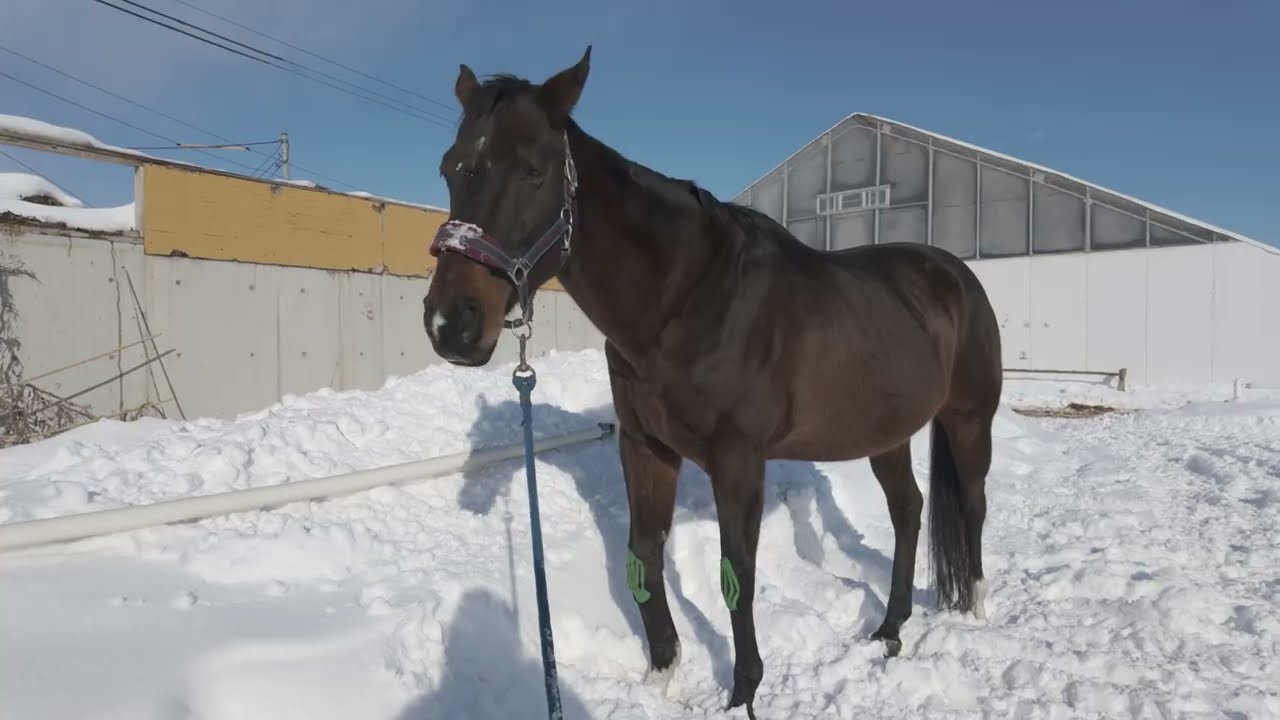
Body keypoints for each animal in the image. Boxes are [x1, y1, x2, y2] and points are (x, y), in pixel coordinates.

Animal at [421, 46, 1002, 717]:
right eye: (450, 169)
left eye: (533, 170)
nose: (450, 324)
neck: (688, 301)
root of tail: (956, 275)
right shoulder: (646, 449)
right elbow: (643, 559)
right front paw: (662, 676)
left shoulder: (738, 460)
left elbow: (737, 575)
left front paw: (743, 691)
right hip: (887, 433)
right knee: (908, 510)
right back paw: (890, 629)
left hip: (968, 420)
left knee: (973, 503)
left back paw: (975, 609)